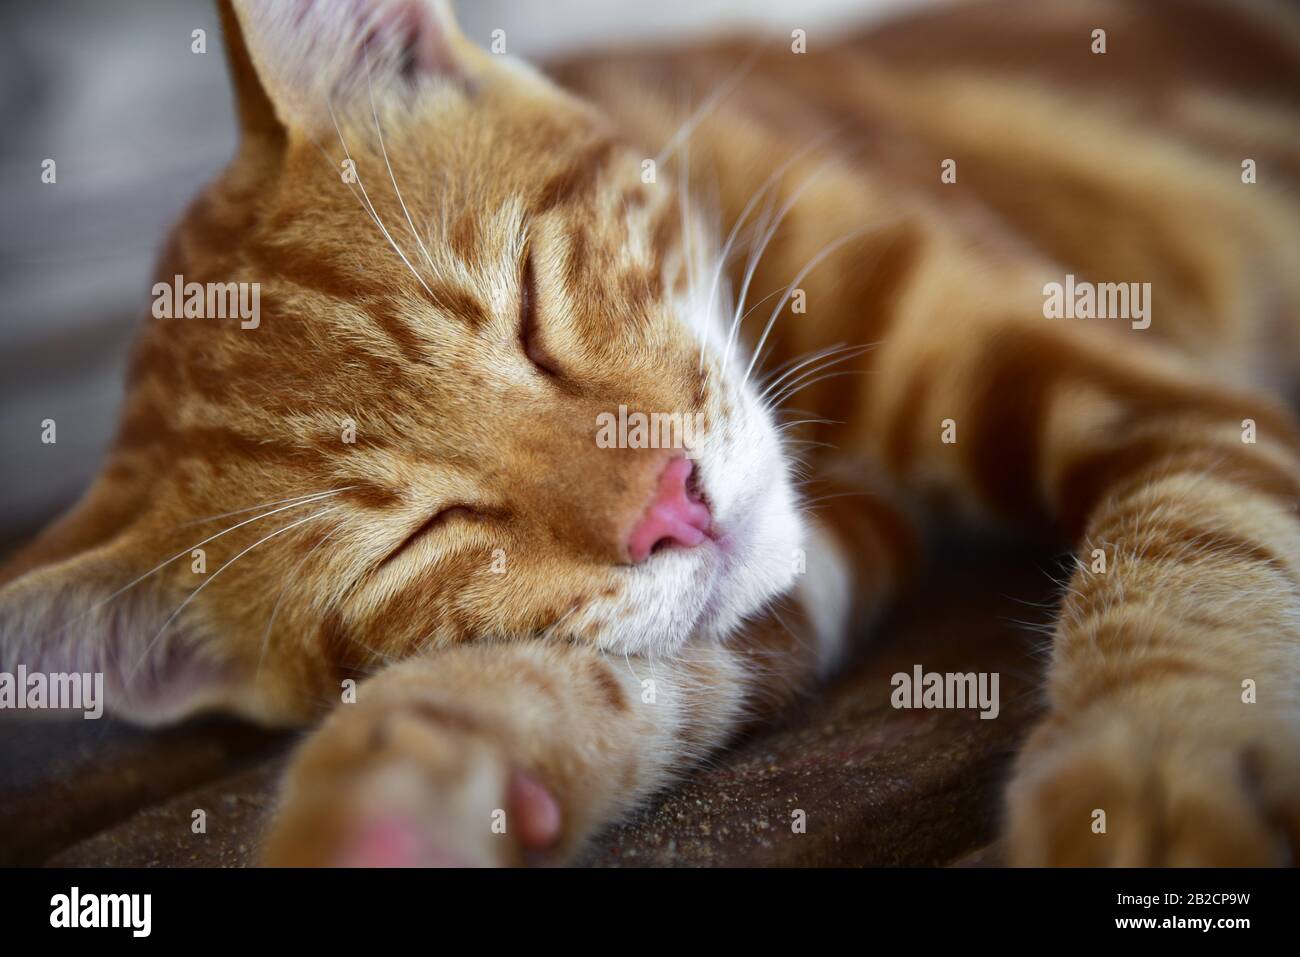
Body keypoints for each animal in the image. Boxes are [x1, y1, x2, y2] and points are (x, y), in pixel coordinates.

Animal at [2, 0, 1300, 868]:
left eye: (528, 310)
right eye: (427, 535)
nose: (672, 501)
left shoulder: (1174, 404)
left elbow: (1187, 559)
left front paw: (1150, 773)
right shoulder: (798, 564)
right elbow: (635, 664)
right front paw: (422, 772)